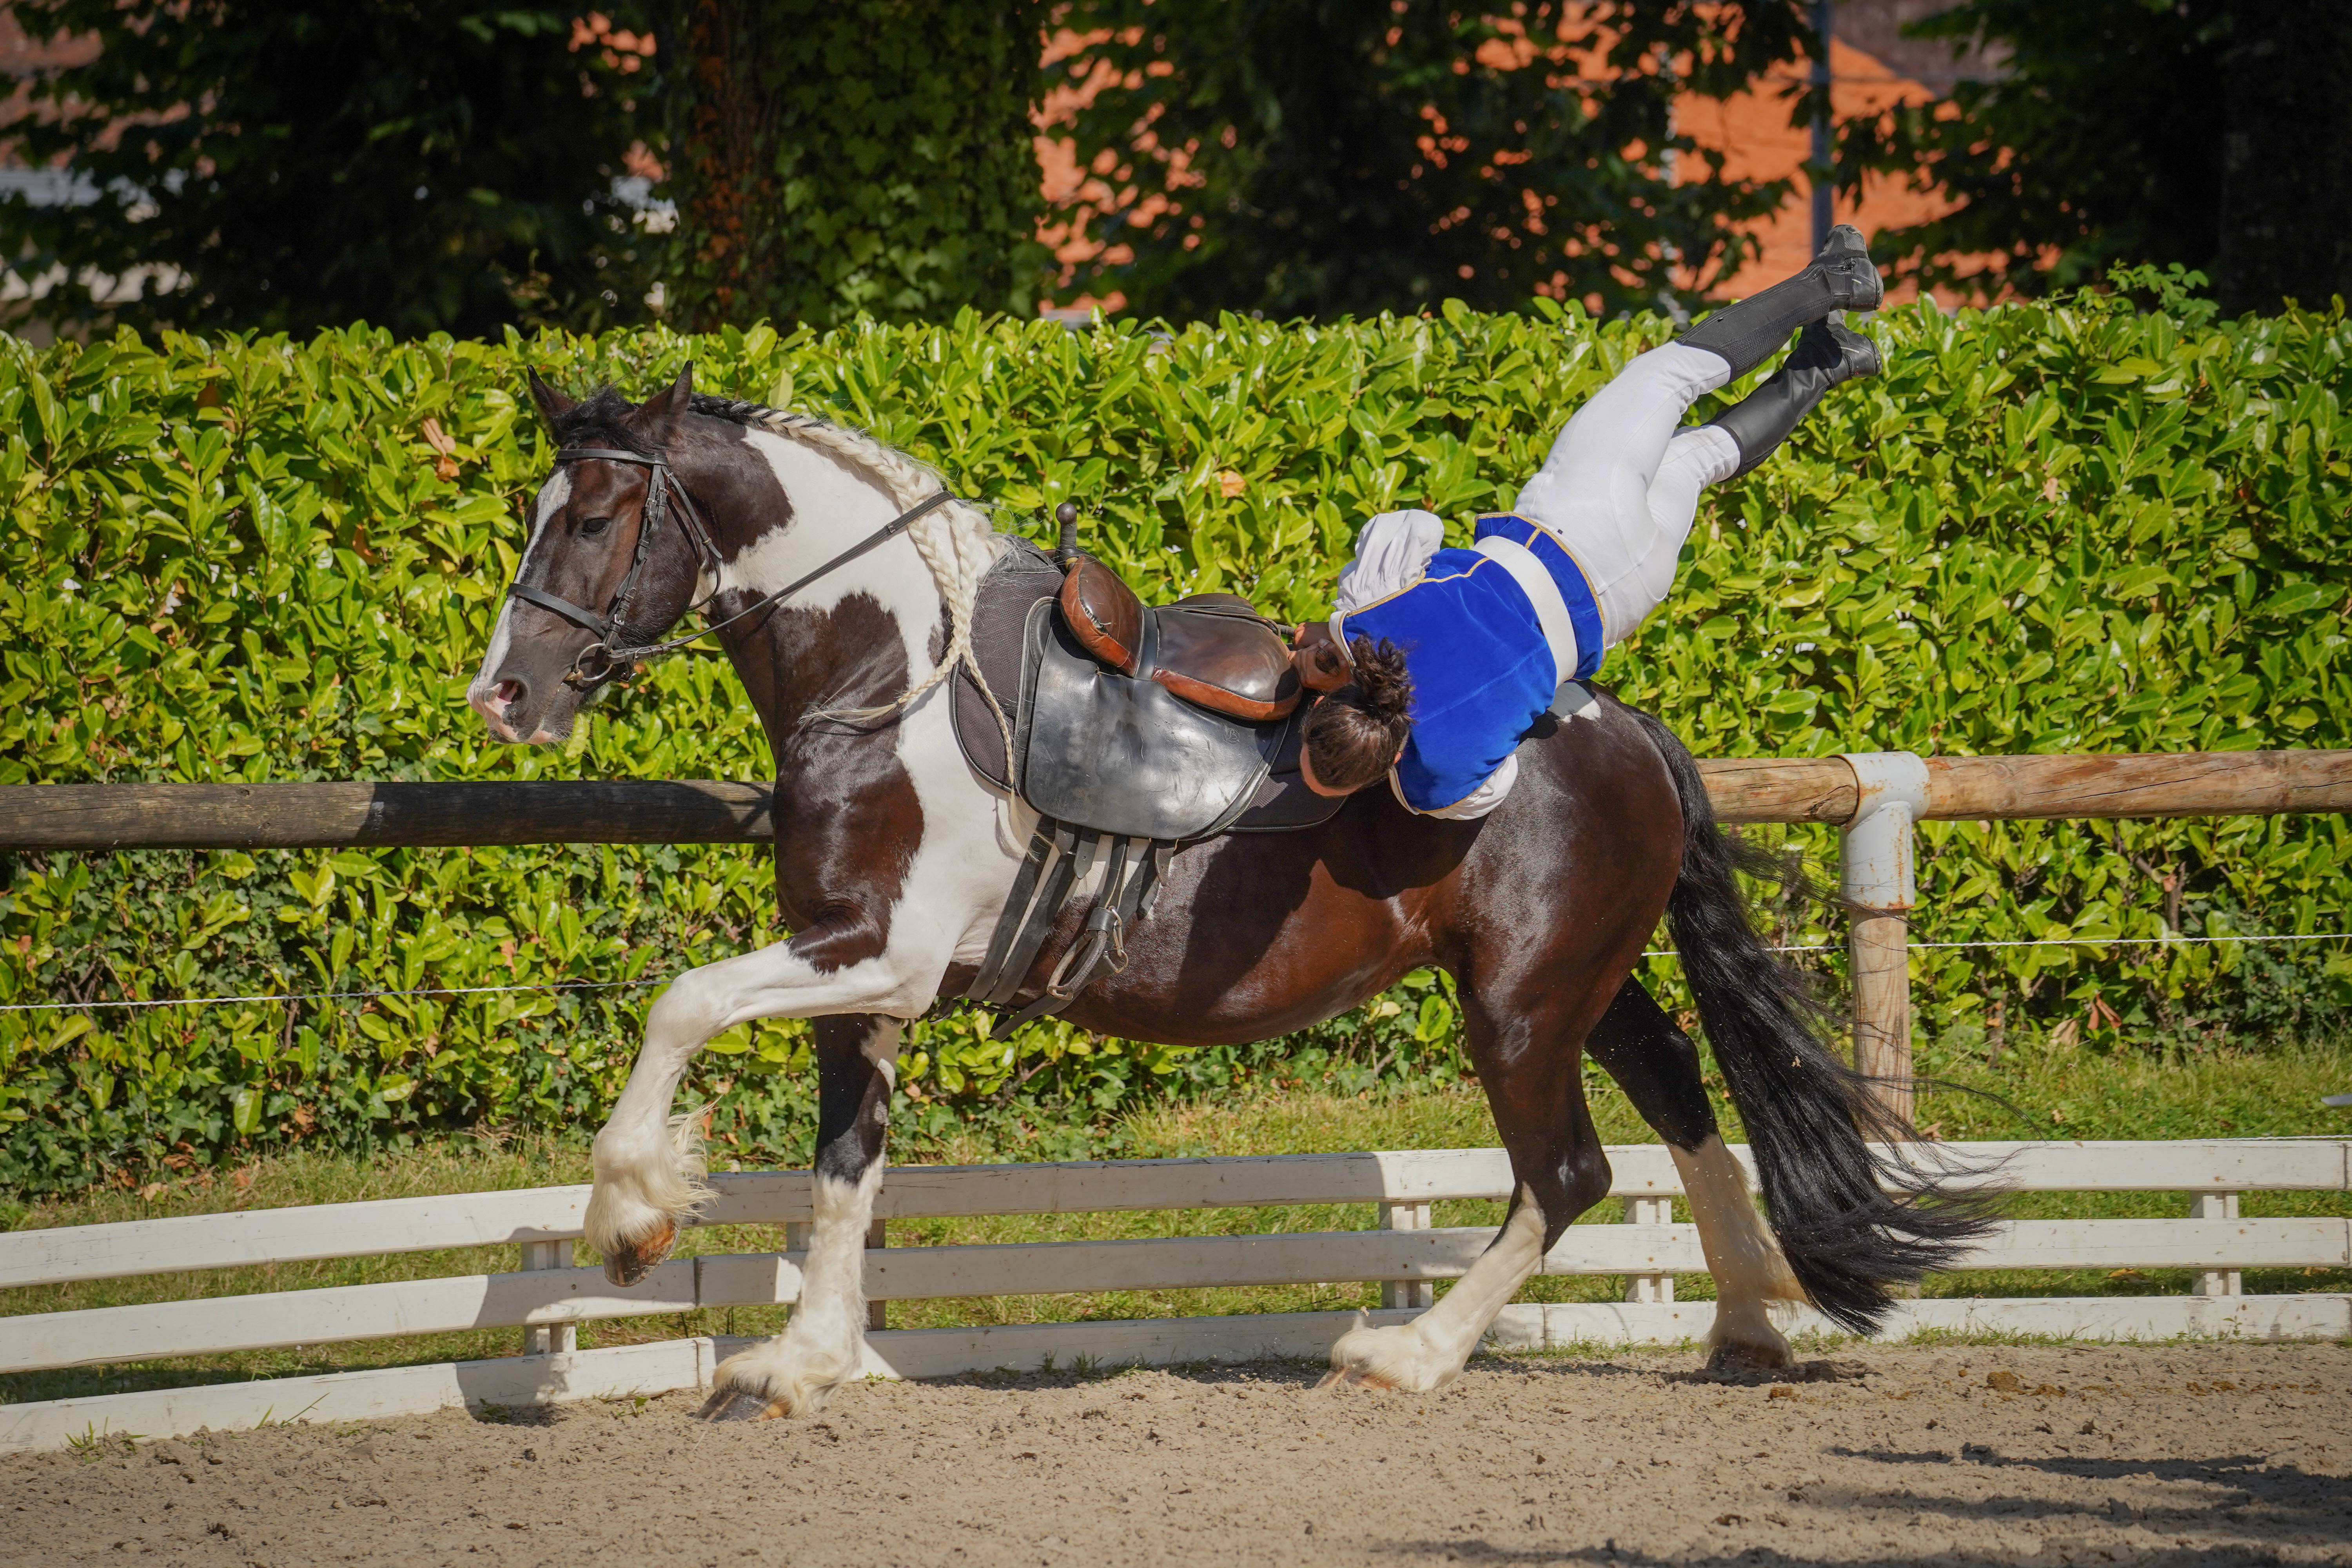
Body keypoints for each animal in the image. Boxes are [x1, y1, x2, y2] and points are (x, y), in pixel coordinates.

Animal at [468, 364, 1988, 1421]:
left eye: (594, 516)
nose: (505, 696)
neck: (891, 674)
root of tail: (1618, 723)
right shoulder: (865, 978)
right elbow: (844, 1167)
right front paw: (804, 1361)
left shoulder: (874, 953)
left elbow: (680, 1005)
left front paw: (631, 1220)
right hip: (1575, 985)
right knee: (1678, 1095)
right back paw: (1746, 1323)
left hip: (1517, 1005)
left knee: (1566, 1171)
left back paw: (1406, 1353)